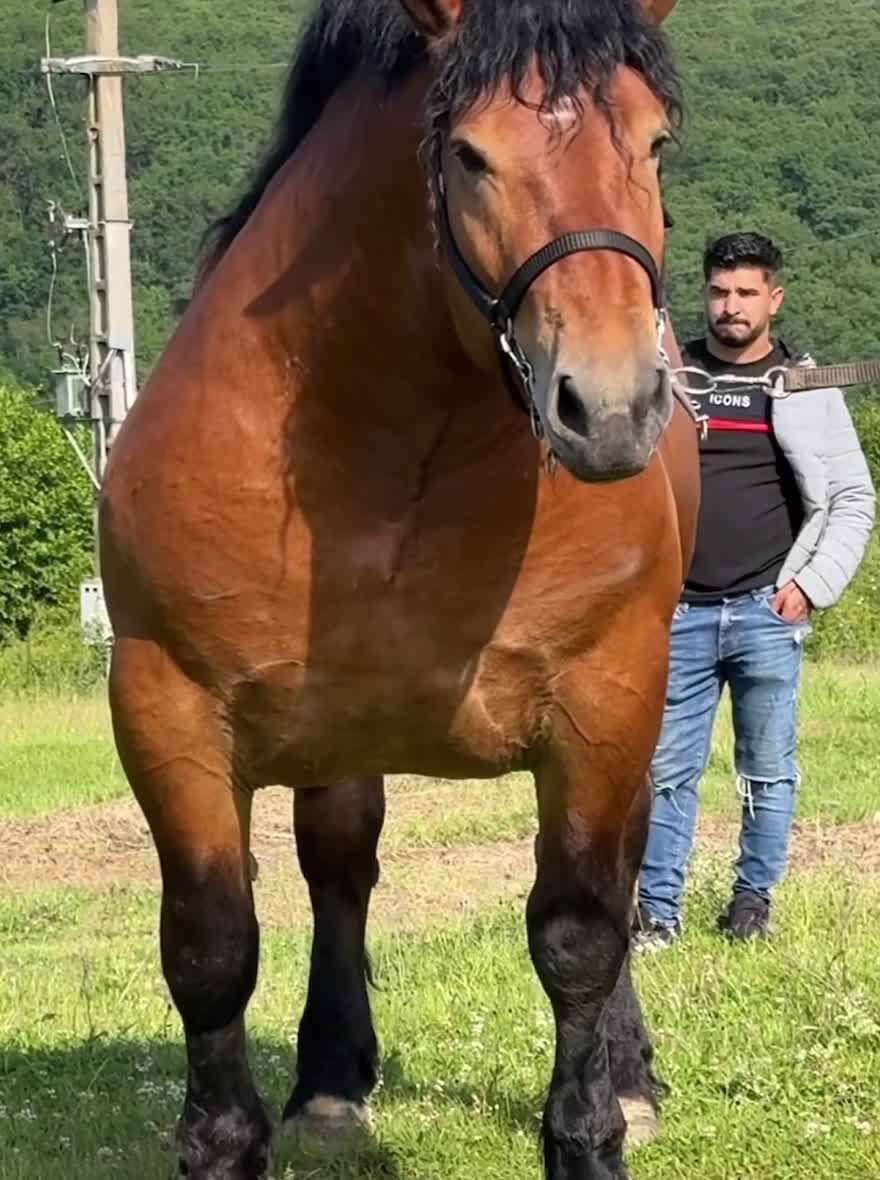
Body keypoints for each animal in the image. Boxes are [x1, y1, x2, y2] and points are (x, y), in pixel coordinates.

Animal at [99, 1, 699, 1177]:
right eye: (467, 155)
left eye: (654, 144)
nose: (608, 409)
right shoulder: (166, 708)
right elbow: (211, 945)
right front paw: (225, 1140)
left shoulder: (605, 700)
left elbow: (580, 931)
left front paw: (593, 1127)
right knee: (340, 863)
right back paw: (332, 1079)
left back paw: (634, 1072)